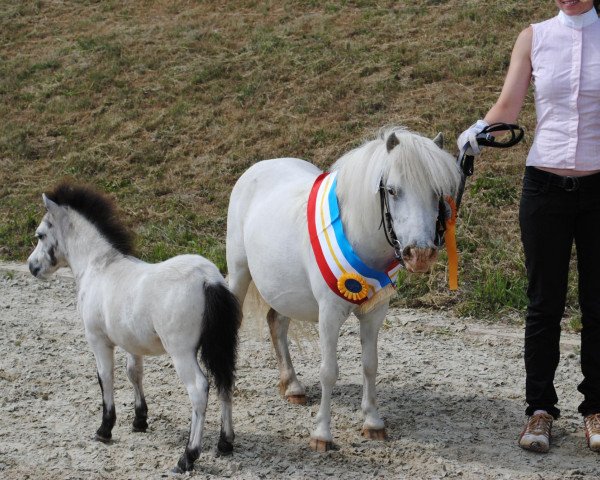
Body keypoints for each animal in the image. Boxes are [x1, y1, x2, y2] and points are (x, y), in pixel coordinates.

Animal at [26, 184, 241, 472]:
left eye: (40, 234)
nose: (32, 266)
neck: (99, 267)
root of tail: (208, 279)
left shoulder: (98, 340)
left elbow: (105, 377)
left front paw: (104, 429)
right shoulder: (131, 342)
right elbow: (134, 374)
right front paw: (140, 420)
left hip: (182, 353)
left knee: (199, 390)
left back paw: (187, 456)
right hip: (220, 346)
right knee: (225, 381)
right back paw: (225, 443)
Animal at [225, 126, 460, 450]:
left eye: (437, 192)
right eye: (392, 190)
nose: (420, 254)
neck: (356, 234)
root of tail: (257, 168)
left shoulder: (375, 313)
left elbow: (370, 365)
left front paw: (373, 423)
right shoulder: (329, 314)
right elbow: (329, 372)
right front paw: (321, 435)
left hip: (285, 290)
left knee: (277, 324)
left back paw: (293, 387)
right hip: (239, 272)